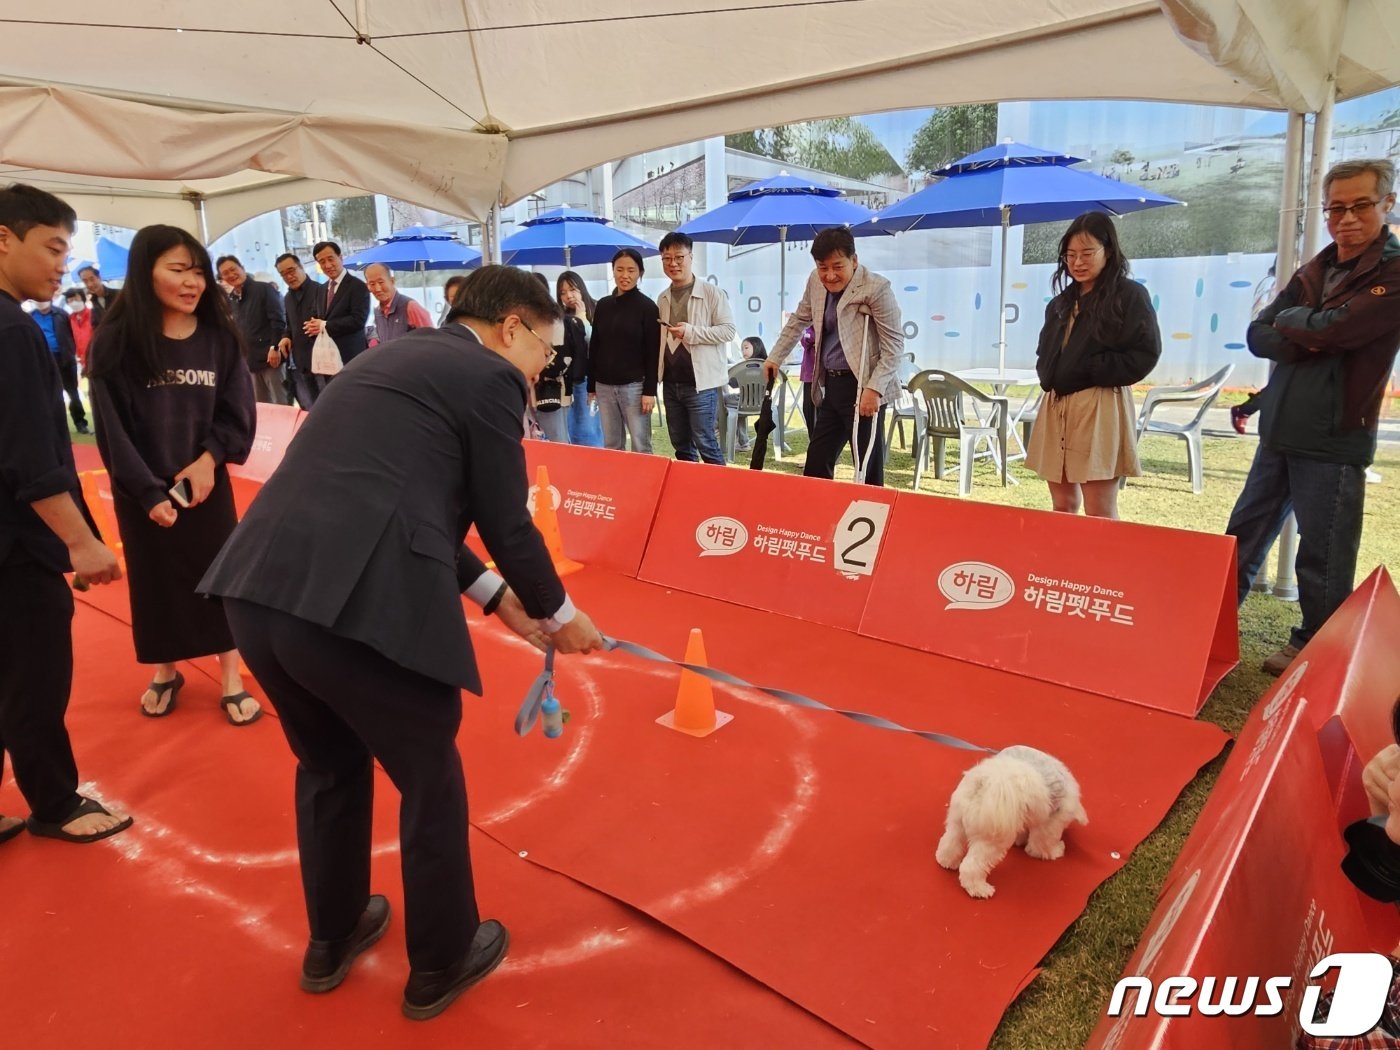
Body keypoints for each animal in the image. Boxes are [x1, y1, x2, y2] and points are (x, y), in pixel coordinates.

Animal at [935, 744, 1086, 901]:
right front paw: (1055, 851)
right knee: (970, 867)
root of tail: (984, 782)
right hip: (990, 841)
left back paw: (946, 861)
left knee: (949, 842)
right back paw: (979, 889)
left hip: (957, 822)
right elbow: (1041, 844)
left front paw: (1022, 840)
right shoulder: (1050, 823)